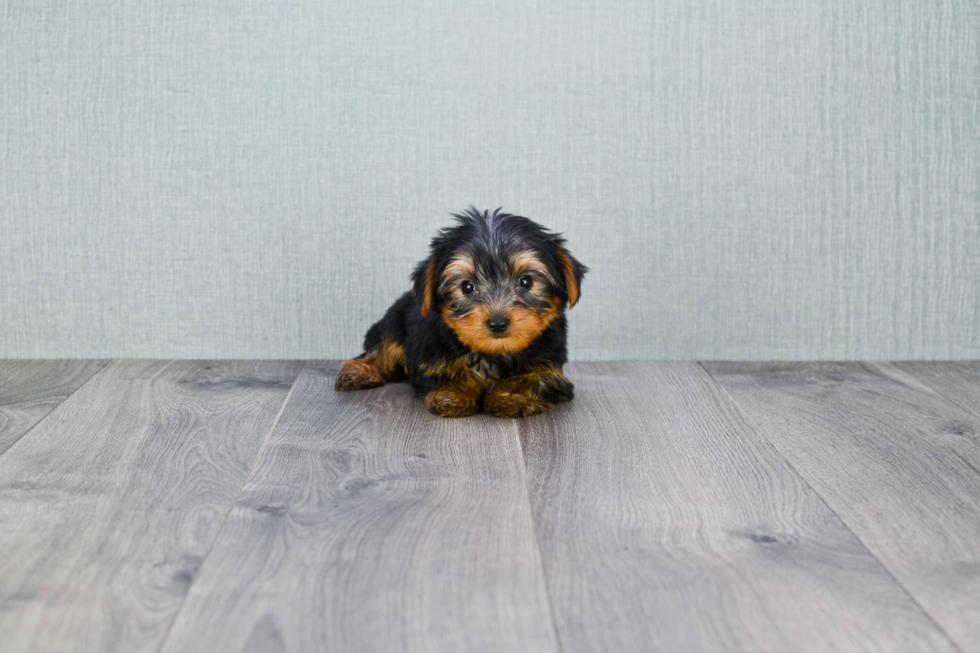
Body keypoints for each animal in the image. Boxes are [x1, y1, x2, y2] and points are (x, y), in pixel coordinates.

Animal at [334, 208, 584, 418]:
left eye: (526, 281)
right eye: (467, 287)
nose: (497, 323)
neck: (493, 353)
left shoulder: (551, 367)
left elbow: (533, 378)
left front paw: (509, 396)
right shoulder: (429, 355)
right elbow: (450, 371)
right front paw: (454, 396)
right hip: (394, 323)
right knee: (384, 347)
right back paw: (359, 371)